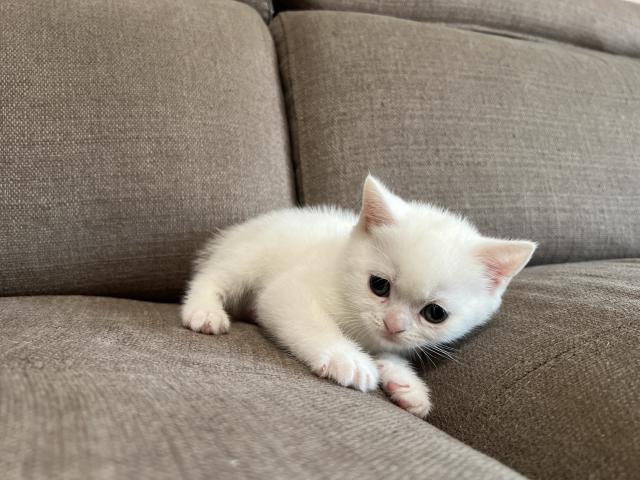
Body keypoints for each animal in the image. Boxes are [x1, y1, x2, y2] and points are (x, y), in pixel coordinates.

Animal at [181, 175, 536, 418]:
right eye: (379, 285)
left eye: (435, 313)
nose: (393, 324)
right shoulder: (288, 290)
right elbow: (310, 320)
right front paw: (348, 359)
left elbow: (390, 351)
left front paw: (407, 384)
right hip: (248, 255)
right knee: (212, 276)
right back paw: (204, 310)